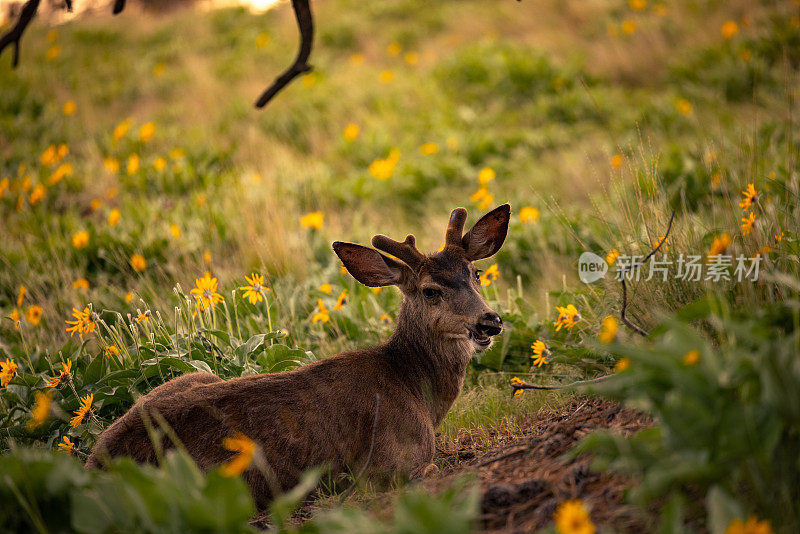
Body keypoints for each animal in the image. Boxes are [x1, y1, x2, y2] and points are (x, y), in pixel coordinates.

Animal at [87, 204, 510, 506]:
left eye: (475, 272)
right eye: (430, 290)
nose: (489, 321)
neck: (418, 390)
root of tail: (97, 462)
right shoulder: (389, 464)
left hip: (192, 376)